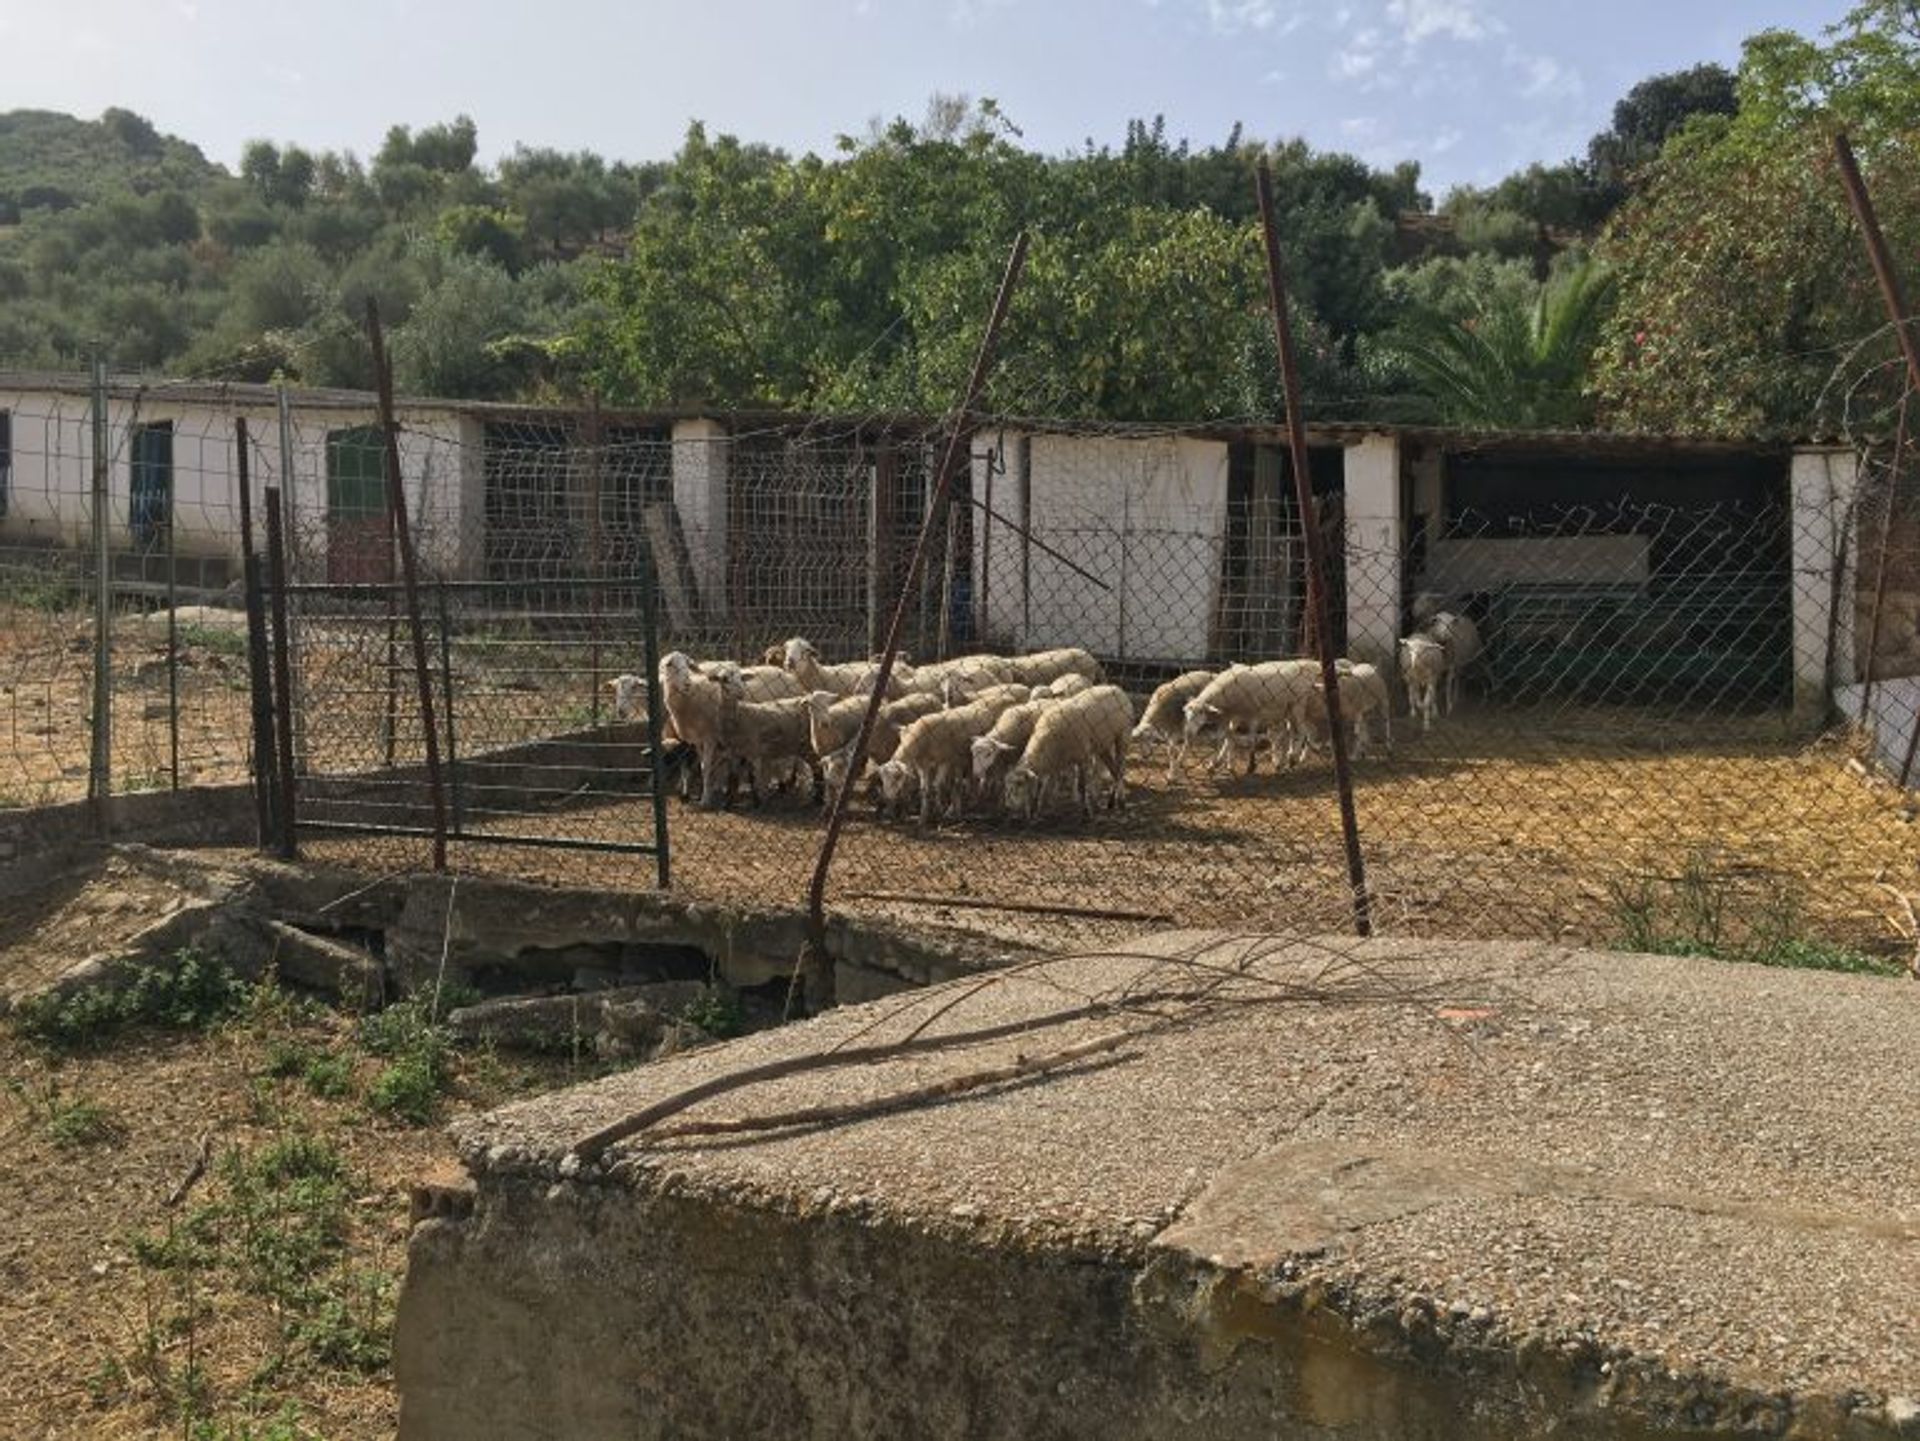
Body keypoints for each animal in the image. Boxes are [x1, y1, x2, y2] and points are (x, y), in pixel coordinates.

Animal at [998, 686, 1128, 821]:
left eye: (1020, 784)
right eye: (1006, 784)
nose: (1009, 805)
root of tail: (1115, 688)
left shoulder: (1082, 758)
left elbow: (1081, 786)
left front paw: (1086, 812)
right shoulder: (1049, 761)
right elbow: (1040, 786)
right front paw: (1035, 811)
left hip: (1123, 735)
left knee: (1120, 770)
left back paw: (1121, 802)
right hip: (1102, 745)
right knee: (1114, 771)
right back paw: (1111, 802)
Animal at [1182, 663, 1320, 779]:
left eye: (1201, 712)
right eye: (1186, 714)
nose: (1188, 733)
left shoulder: (1253, 715)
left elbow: (1251, 739)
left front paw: (1251, 765)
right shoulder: (1235, 717)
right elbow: (1228, 738)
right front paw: (1218, 764)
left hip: (1298, 705)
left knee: (1302, 731)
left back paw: (1293, 758)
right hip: (1289, 710)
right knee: (1293, 732)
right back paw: (1288, 759)